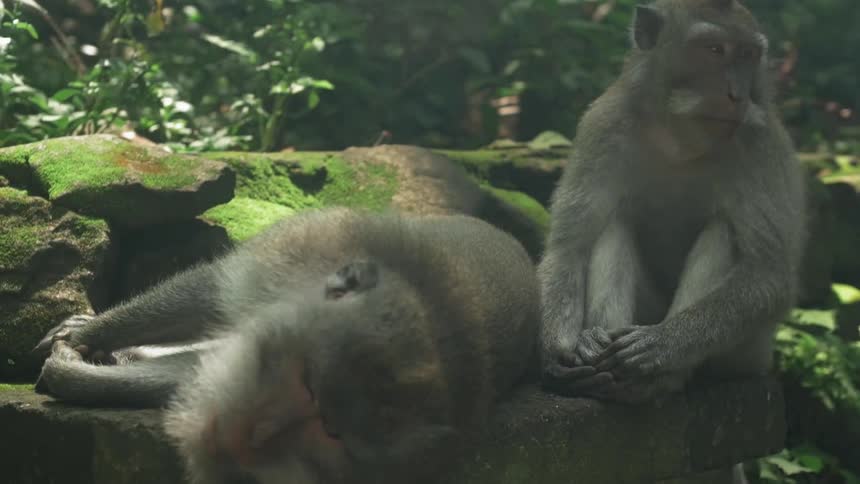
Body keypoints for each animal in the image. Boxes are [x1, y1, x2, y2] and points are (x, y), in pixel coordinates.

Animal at [33, 207, 540, 484]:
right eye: (307, 384)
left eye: (330, 431)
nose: (250, 439)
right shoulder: (296, 258)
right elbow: (208, 291)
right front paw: (85, 337)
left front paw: (77, 371)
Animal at [537, 0, 807, 406]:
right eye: (714, 50)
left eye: (748, 55)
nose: (736, 94)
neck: (679, 136)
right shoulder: (602, 125)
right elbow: (569, 247)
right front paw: (559, 352)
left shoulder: (761, 144)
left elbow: (768, 273)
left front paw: (661, 345)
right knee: (613, 223)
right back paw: (599, 354)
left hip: (751, 352)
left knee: (724, 233)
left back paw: (657, 379)